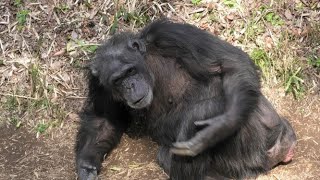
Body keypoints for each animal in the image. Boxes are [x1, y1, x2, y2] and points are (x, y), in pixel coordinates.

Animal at [75, 19, 298, 180]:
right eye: (118, 80)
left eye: (130, 71)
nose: (130, 85)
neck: (148, 64)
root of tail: (281, 145)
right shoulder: (98, 82)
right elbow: (104, 121)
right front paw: (86, 165)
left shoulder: (171, 34)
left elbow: (232, 63)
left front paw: (219, 127)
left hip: (256, 144)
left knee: (204, 110)